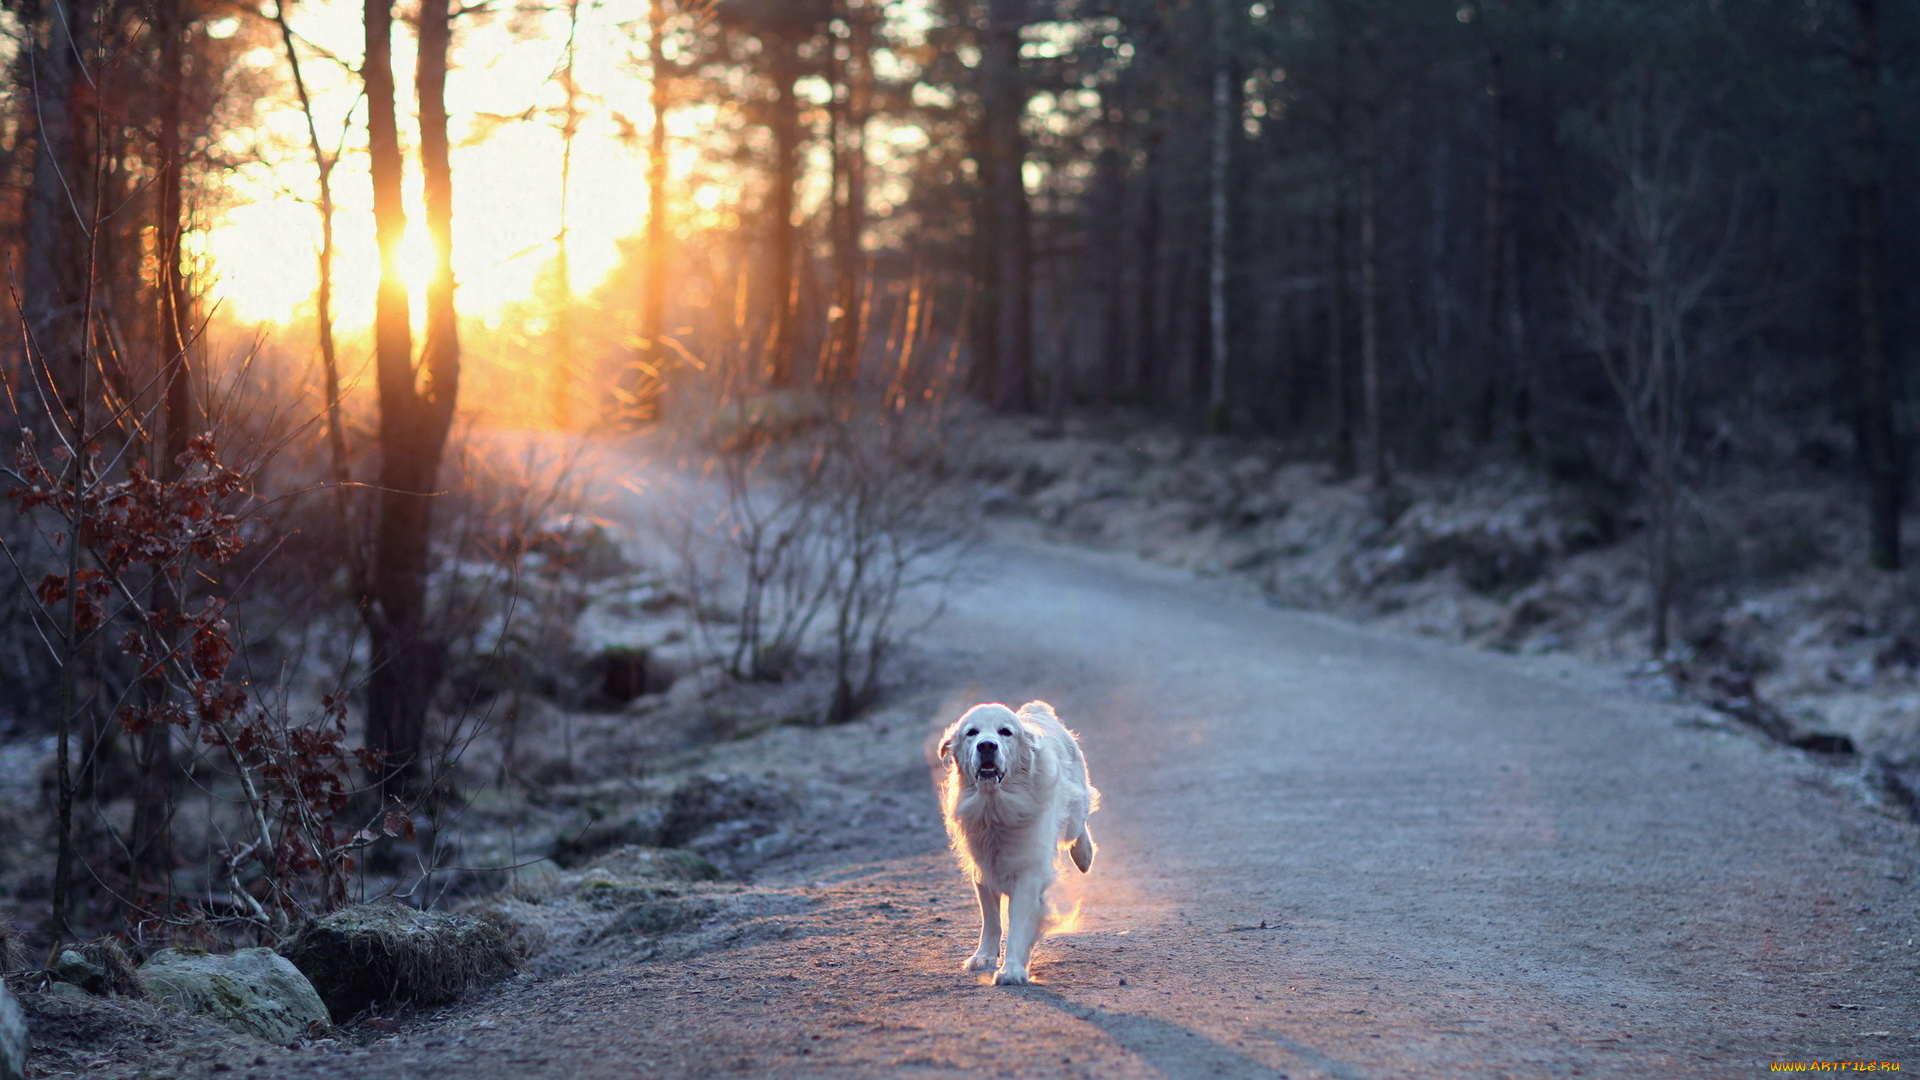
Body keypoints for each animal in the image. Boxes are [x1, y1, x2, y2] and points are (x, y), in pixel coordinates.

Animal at [940, 699, 1105, 983]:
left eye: (1005, 732)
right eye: (971, 733)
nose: (986, 745)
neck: (994, 808)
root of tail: (1036, 710)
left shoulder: (1028, 871)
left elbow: (1017, 922)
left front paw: (1012, 969)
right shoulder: (983, 866)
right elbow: (991, 918)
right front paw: (983, 956)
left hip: (1075, 807)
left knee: (1078, 826)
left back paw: (1084, 856)